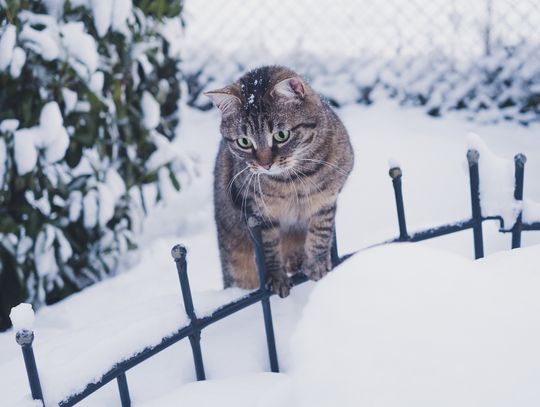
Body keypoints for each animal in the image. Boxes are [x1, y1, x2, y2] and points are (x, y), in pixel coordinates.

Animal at [204, 65, 354, 298]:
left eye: (281, 135)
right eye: (244, 142)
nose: (265, 165)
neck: (293, 180)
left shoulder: (328, 198)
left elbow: (321, 231)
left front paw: (316, 263)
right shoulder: (258, 213)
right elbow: (269, 247)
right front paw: (276, 277)